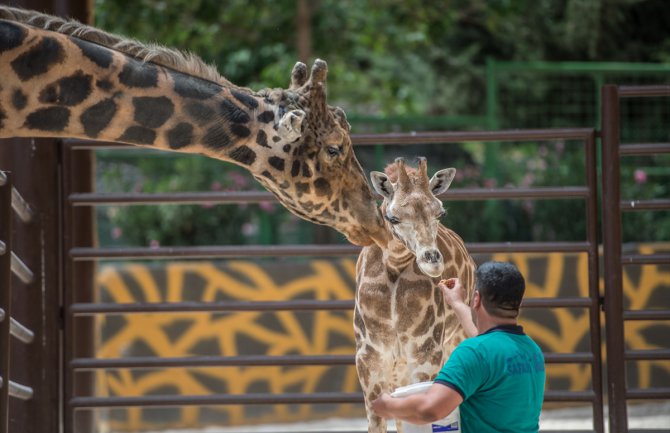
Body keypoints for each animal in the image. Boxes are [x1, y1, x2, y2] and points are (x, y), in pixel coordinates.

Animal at [356, 159, 478, 432]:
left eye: (440, 213)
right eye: (393, 218)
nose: (432, 261)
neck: (394, 266)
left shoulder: (425, 351)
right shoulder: (369, 356)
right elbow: (377, 422)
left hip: (455, 339)